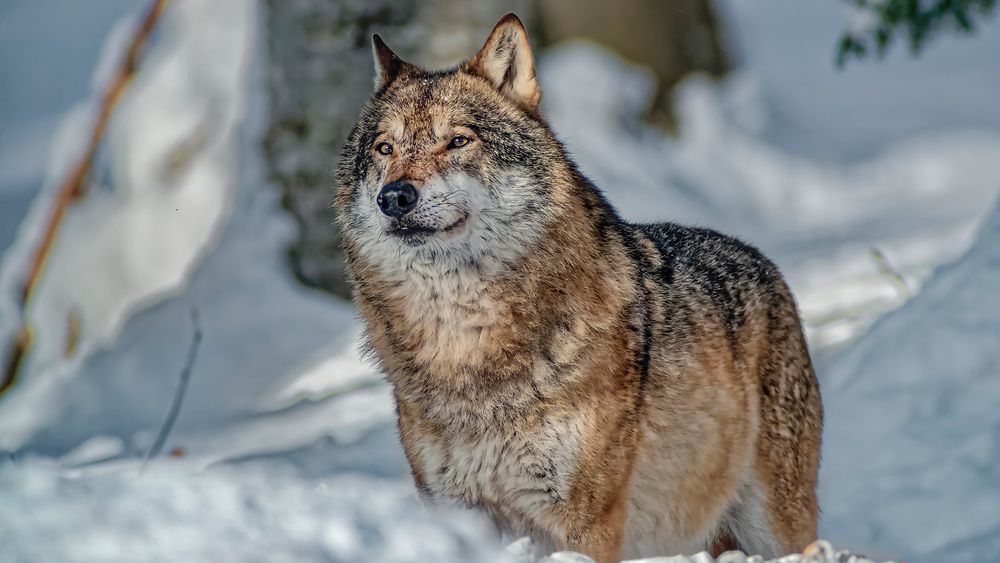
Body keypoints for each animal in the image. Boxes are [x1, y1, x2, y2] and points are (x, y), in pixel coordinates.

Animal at [336, 14, 820, 563]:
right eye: (384, 148)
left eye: (458, 141)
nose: (393, 197)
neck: (464, 344)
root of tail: (763, 262)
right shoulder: (456, 509)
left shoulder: (585, 522)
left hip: (776, 525)